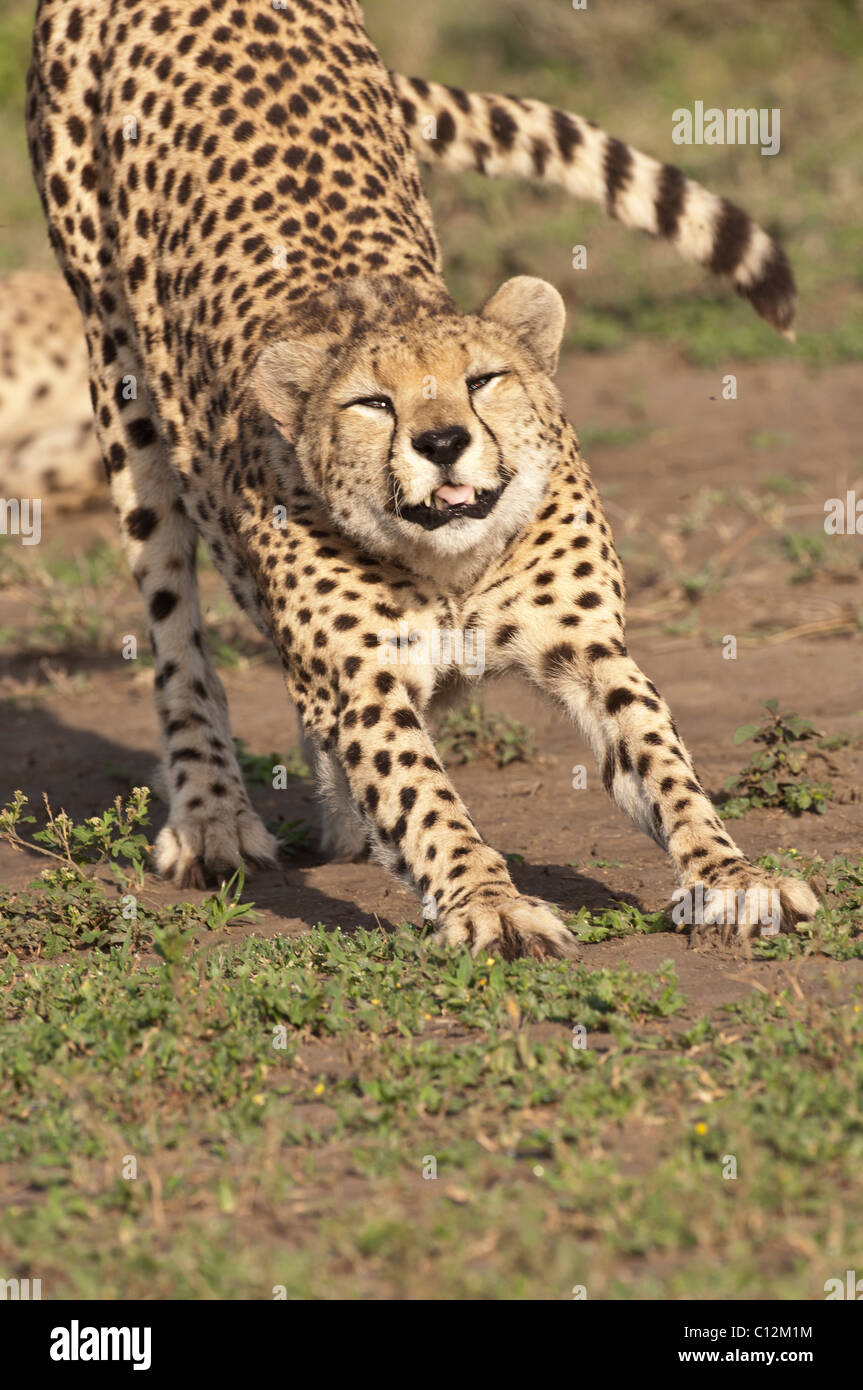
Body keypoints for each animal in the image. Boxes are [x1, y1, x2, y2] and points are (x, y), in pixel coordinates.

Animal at [23, 0, 811, 956]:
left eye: (482, 380)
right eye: (372, 404)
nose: (440, 442)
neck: (453, 564)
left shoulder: (589, 648)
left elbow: (662, 763)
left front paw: (732, 877)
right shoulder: (366, 681)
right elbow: (424, 796)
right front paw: (489, 904)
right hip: (119, 379)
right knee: (177, 633)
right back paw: (212, 816)